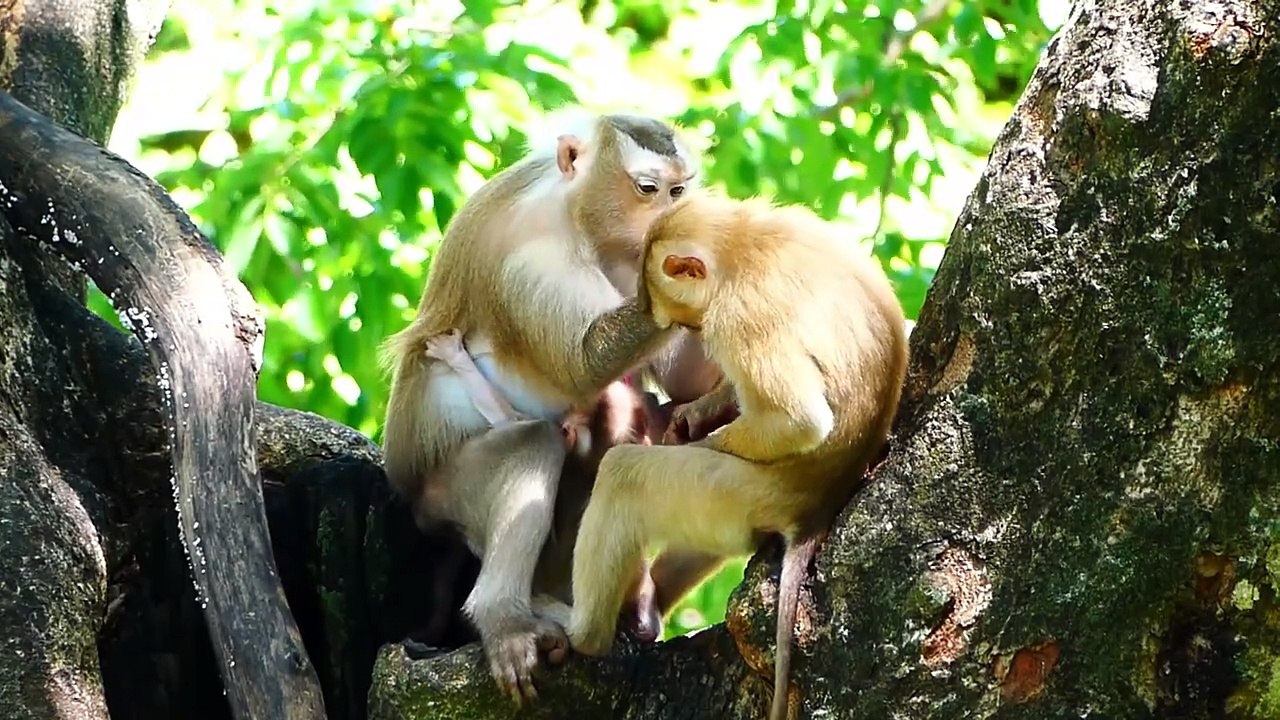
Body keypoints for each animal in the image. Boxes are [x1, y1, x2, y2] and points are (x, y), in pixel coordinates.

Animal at [379, 109, 726, 703]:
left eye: (679, 190)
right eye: (648, 189)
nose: (669, 218)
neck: (580, 217)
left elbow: (684, 383)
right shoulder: (530, 254)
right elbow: (583, 364)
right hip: (441, 495)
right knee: (532, 443)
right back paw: (505, 620)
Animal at [566, 192, 909, 720]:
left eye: (686, 321)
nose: (685, 330)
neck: (742, 244)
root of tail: (813, 511)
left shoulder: (739, 315)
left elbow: (799, 422)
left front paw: (696, 438)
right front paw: (698, 412)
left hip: (740, 490)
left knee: (629, 476)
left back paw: (583, 637)